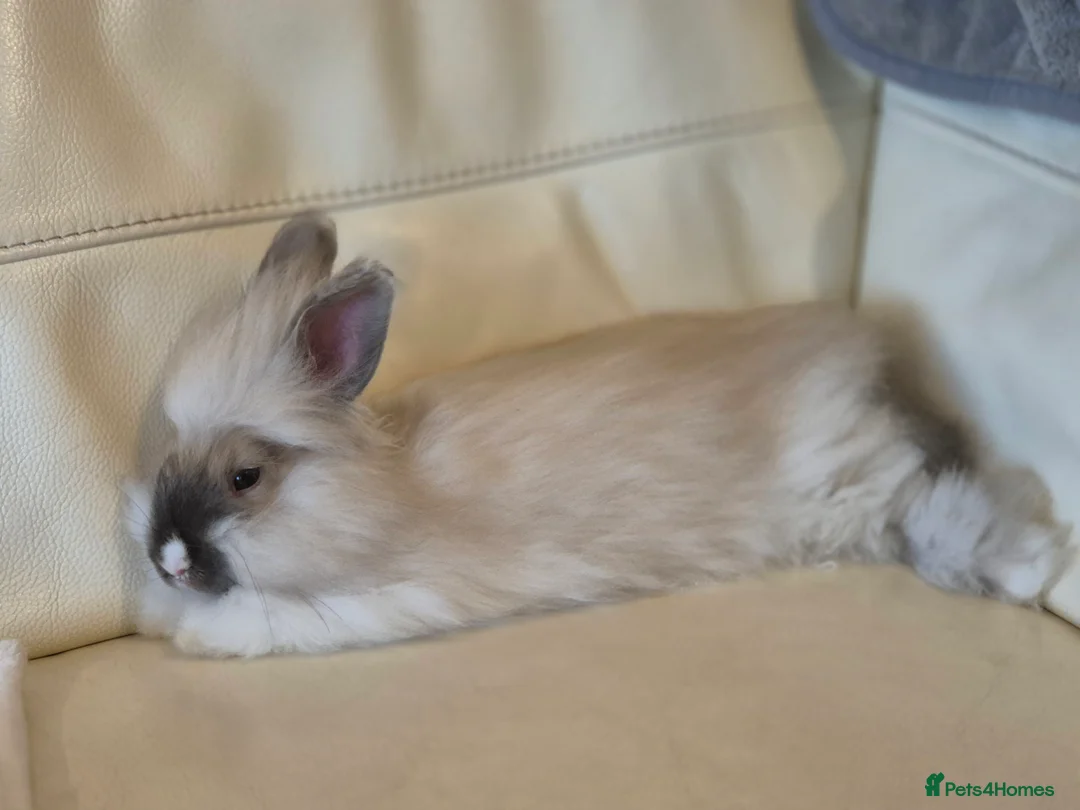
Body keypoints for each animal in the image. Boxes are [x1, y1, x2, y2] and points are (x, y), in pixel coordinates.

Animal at [122, 212, 1074, 658]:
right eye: (155, 453)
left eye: (245, 479)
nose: (165, 558)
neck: (375, 488)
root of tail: (862, 354)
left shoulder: (378, 599)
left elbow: (262, 619)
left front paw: (196, 635)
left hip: (844, 484)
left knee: (939, 501)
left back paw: (1028, 566)